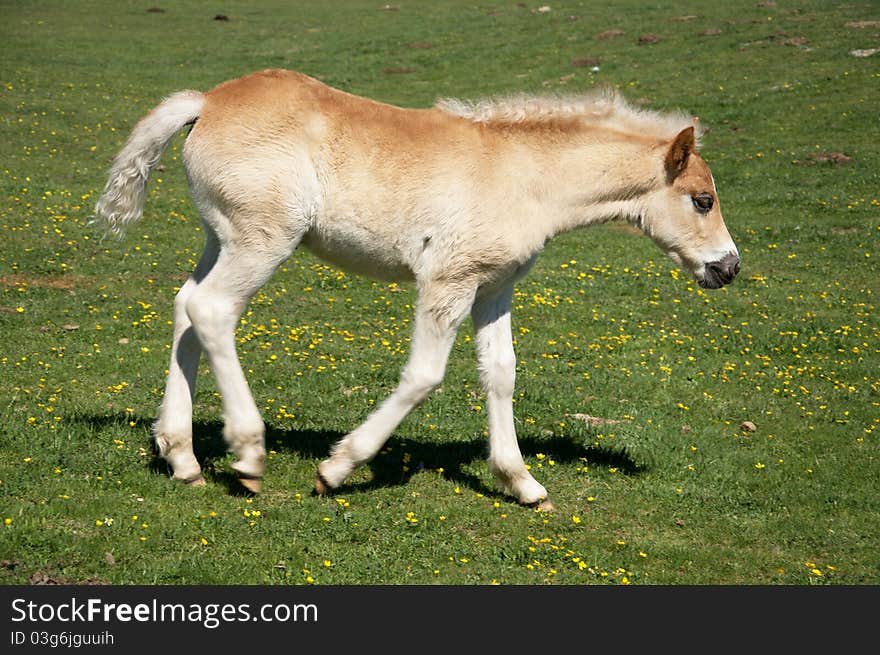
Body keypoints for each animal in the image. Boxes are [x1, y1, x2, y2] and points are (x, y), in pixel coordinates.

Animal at [93, 69, 740, 510]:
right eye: (702, 200)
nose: (729, 267)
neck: (523, 175)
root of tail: (208, 102)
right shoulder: (447, 281)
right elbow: (425, 375)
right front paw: (338, 468)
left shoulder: (493, 287)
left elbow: (501, 372)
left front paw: (522, 482)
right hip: (262, 240)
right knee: (212, 309)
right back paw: (248, 454)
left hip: (221, 238)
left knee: (185, 309)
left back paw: (182, 455)